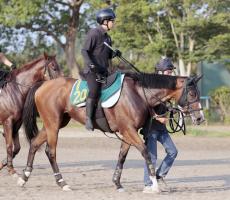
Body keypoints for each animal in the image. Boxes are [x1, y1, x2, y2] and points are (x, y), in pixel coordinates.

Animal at [18, 72, 204, 191]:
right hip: (53, 125)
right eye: (192, 94)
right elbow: (146, 153)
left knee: (34, 143)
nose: (200, 118)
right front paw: (154, 183)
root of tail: (44, 84)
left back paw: (24, 177)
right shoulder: (129, 131)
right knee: (51, 151)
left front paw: (117, 183)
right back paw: (62, 182)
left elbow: (122, 156)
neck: (138, 94)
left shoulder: (128, 133)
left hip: (54, 124)